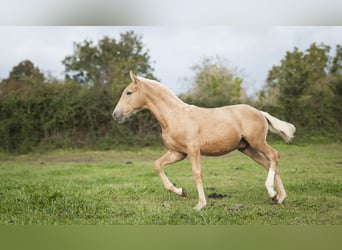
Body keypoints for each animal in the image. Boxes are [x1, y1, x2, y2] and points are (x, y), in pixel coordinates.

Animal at [113, 71, 296, 211]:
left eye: (129, 92)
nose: (116, 115)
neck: (174, 116)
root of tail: (259, 112)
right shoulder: (178, 153)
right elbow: (157, 165)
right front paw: (182, 191)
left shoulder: (193, 150)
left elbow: (197, 174)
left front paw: (200, 205)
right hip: (247, 148)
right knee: (268, 163)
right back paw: (279, 197)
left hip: (257, 142)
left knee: (274, 156)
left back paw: (272, 192)